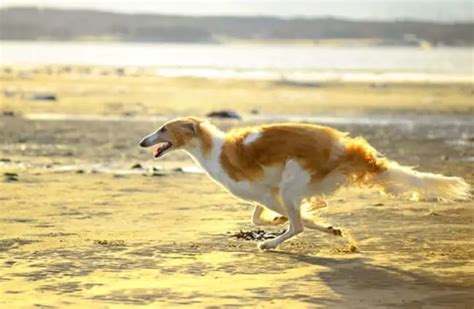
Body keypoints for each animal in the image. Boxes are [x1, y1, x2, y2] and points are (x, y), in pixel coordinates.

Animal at [138, 116, 470, 249]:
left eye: (163, 128)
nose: (142, 141)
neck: (212, 148)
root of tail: (348, 148)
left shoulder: (270, 194)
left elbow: (293, 219)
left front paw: (283, 226)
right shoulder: (267, 194)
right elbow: (264, 216)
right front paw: (331, 228)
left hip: (291, 181)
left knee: (296, 226)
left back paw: (270, 244)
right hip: (293, 185)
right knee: (305, 213)